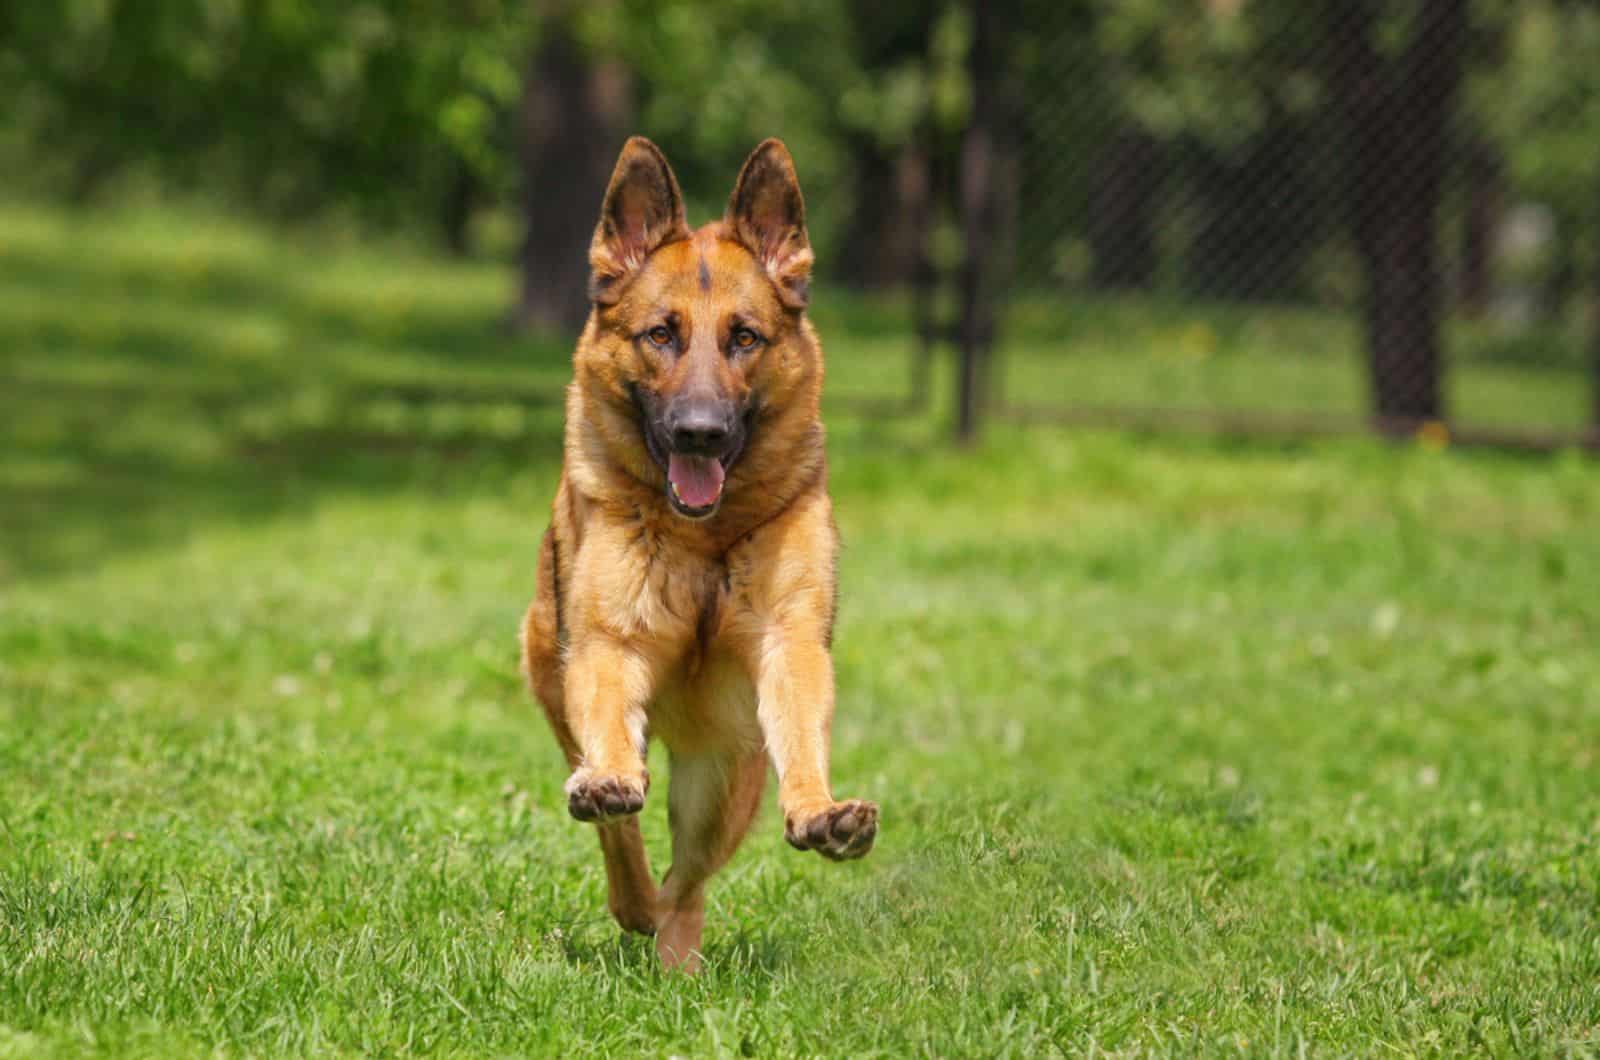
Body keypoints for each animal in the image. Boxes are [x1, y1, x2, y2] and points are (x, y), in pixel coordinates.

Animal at [521, 139, 876, 973]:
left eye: (744, 337)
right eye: (662, 334)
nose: (700, 433)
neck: (703, 538)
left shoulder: (789, 644)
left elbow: (803, 733)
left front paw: (819, 809)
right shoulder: (608, 650)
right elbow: (616, 787)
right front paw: (612, 795)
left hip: (722, 778)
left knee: (687, 882)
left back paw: (675, 960)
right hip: (564, 692)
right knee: (624, 832)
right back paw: (631, 894)